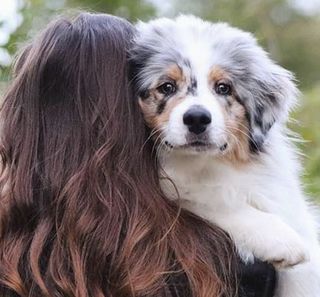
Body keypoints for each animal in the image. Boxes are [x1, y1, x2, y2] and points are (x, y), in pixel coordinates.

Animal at [130, 15, 320, 294]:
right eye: (167, 87)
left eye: (223, 88)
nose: (197, 118)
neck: (203, 164)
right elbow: (210, 196)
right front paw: (281, 240)